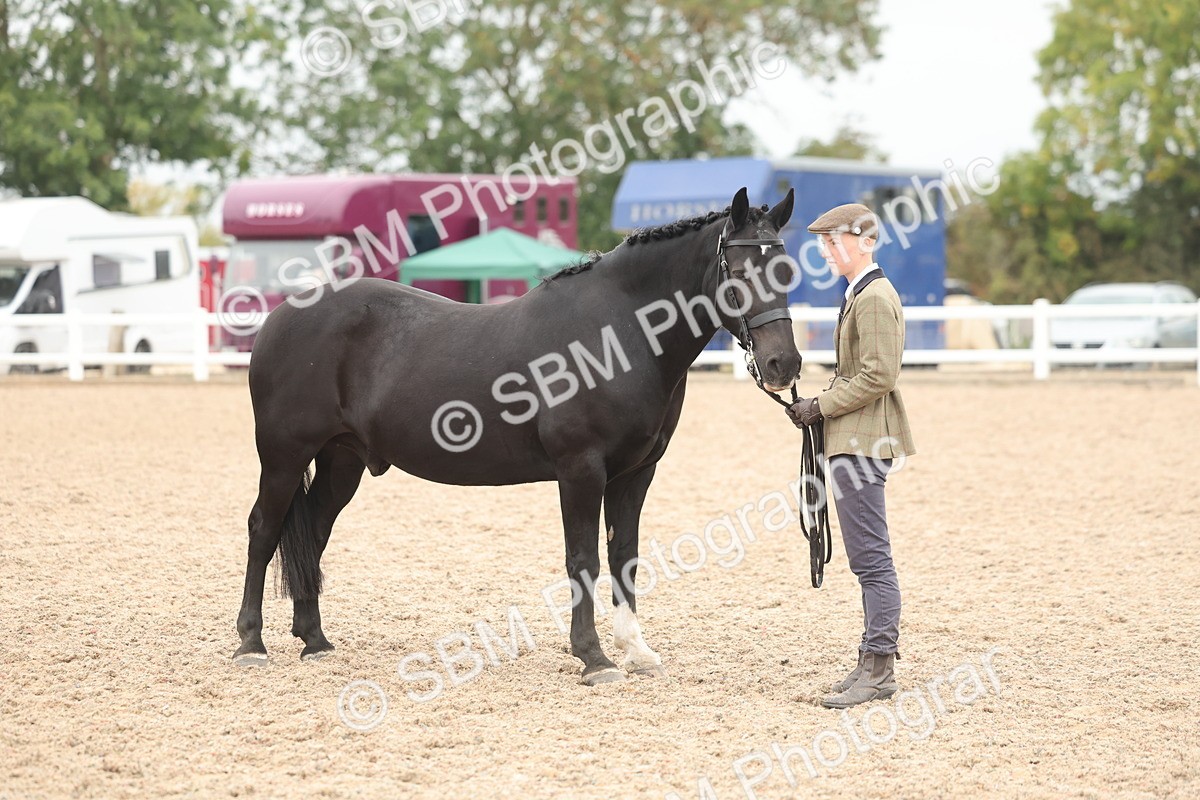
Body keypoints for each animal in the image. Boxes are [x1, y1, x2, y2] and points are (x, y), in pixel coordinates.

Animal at [233, 187, 801, 685]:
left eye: (786, 270)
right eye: (740, 270)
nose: (784, 364)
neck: (617, 335)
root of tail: (279, 317)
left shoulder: (636, 474)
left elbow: (625, 557)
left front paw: (636, 650)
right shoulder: (580, 470)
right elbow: (583, 559)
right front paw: (594, 658)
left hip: (341, 461)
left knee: (313, 533)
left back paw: (314, 641)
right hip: (284, 456)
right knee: (264, 529)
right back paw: (251, 644)